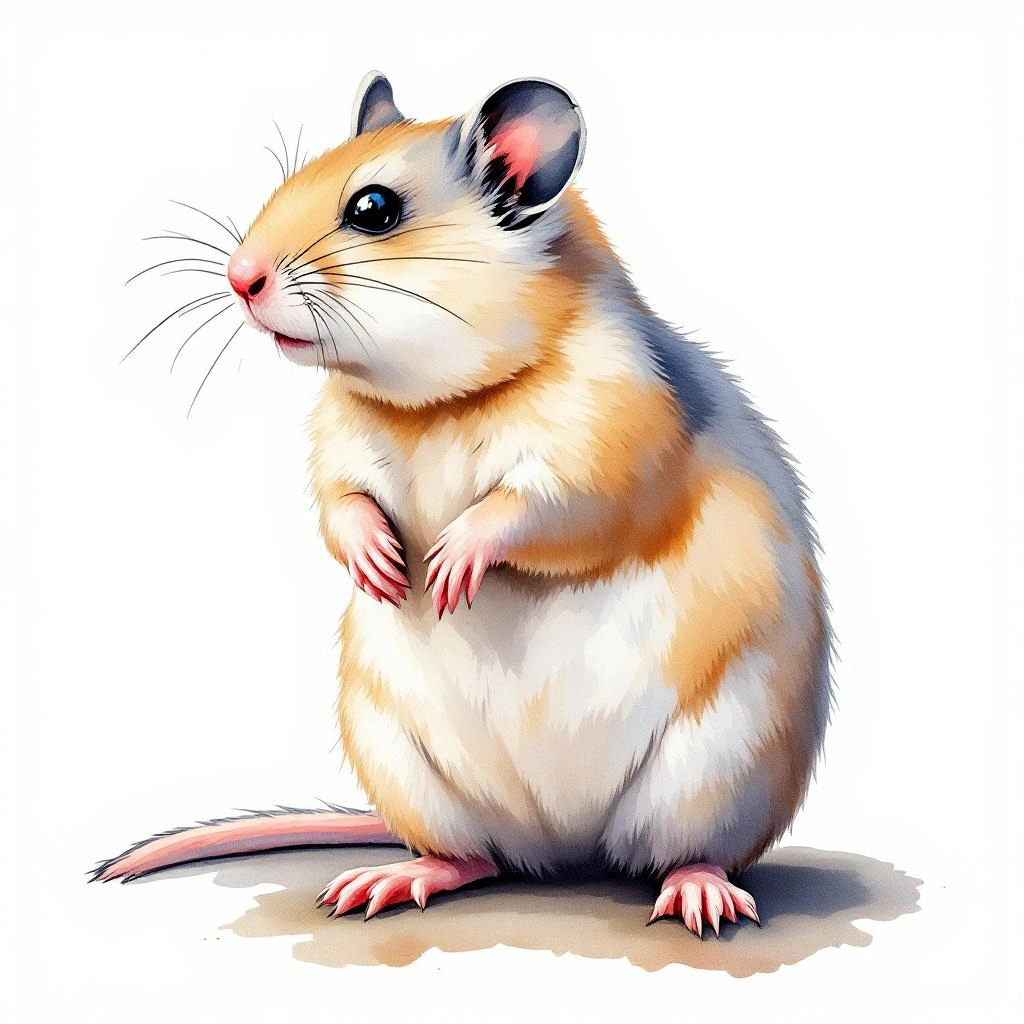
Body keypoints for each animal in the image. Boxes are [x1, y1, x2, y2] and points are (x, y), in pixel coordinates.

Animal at [94, 71, 832, 938]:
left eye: (373, 208)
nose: (240, 280)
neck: (439, 402)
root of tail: (566, 845)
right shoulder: (337, 448)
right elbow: (340, 505)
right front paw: (382, 567)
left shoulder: (608, 442)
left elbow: (538, 508)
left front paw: (449, 567)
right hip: (406, 765)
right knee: (474, 857)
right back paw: (388, 880)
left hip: (716, 767)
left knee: (685, 851)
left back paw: (701, 896)